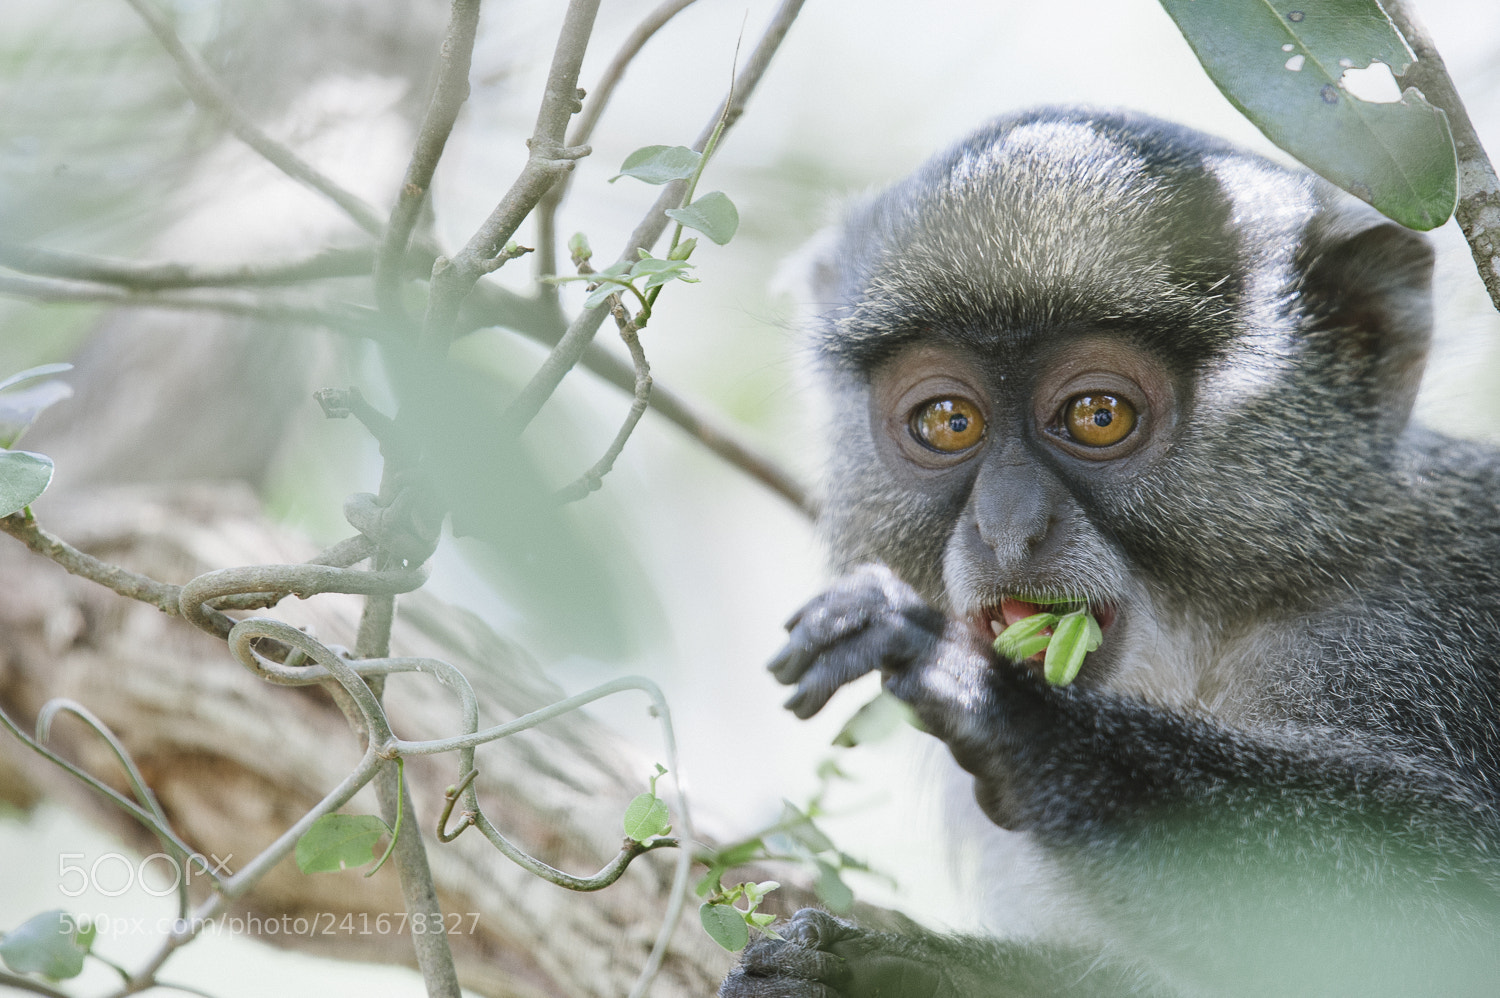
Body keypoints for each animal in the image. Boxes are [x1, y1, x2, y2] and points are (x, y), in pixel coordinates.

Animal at [719, 108, 1500, 997]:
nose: (1008, 526)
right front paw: (871, 970)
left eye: (1099, 416)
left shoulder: (1401, 642)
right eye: (949, 422)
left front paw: (996, 703)